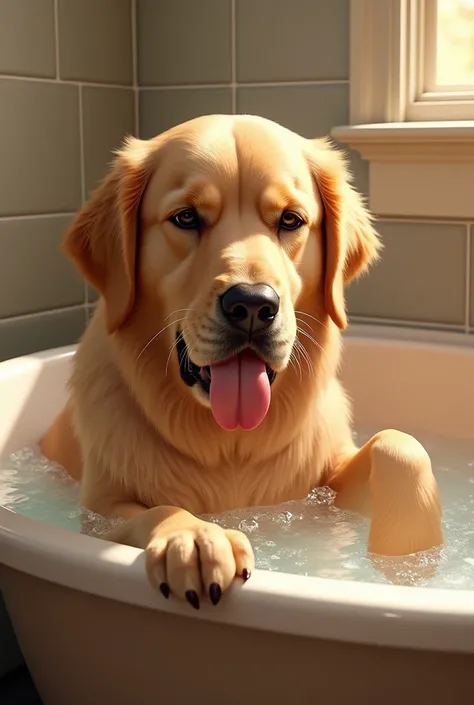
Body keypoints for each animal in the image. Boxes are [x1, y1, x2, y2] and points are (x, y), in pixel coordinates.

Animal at [41, 114, 444, 604]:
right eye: (186, 217)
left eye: (290, 219)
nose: (252, 305)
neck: (230, 447)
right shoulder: (97, 514)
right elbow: (156, 510)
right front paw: (193, 537)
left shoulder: (324, 480)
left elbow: (401, 448)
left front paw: (405, 567)